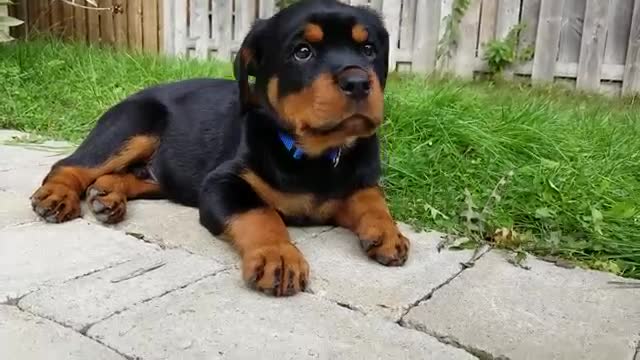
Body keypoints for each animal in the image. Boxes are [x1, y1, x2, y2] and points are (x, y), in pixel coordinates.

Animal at [28, 0, 410, 296]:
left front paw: (388, 232)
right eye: (303, 52)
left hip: (164, 175)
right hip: (134, 123)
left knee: (130, 175)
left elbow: (371, 198)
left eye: (369, 50)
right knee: (71, 165)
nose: (359, 82)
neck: (314, 153)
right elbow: (260, 212)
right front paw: (279, 256)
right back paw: (58, 196)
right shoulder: (222, 183)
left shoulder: (358, 179)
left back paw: (107, 195)